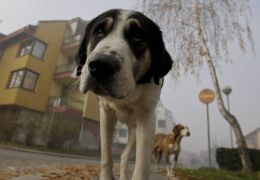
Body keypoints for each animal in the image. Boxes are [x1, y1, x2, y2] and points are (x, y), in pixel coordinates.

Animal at [75, 9, 173, 179]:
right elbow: (106, 156)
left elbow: (141, 164)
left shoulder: (147, 118)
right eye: (99, 31)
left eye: (137, 36)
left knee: (125, 156)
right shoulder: (106, 113)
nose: (101, 65)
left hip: (134, 131)